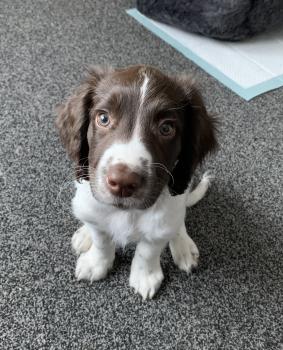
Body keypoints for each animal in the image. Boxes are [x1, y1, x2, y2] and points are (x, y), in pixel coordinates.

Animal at [56, 66, 219, 300]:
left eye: (166, 128)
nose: (123, 183)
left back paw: (183, 244)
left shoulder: (159, 227)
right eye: (103, 118)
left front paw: (145, 277)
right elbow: (101, 240)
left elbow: (147, 251)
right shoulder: (96, 212)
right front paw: (96, 263)